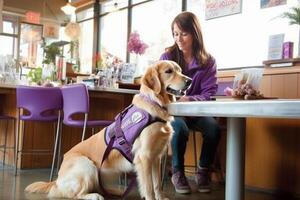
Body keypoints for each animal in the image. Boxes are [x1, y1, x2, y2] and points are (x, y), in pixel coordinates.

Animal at [25, 60, 190, 199]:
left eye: (180, 70)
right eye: (168, 71)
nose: (189, 81)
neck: (154, 104)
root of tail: (57, 180)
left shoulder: (156, 158)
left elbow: (157, 185)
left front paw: (161, 197)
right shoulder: (144, 157)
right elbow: (149, 187)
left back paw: (114, 191)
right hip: (87, 165)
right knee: (75, 194)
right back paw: (94, 196)